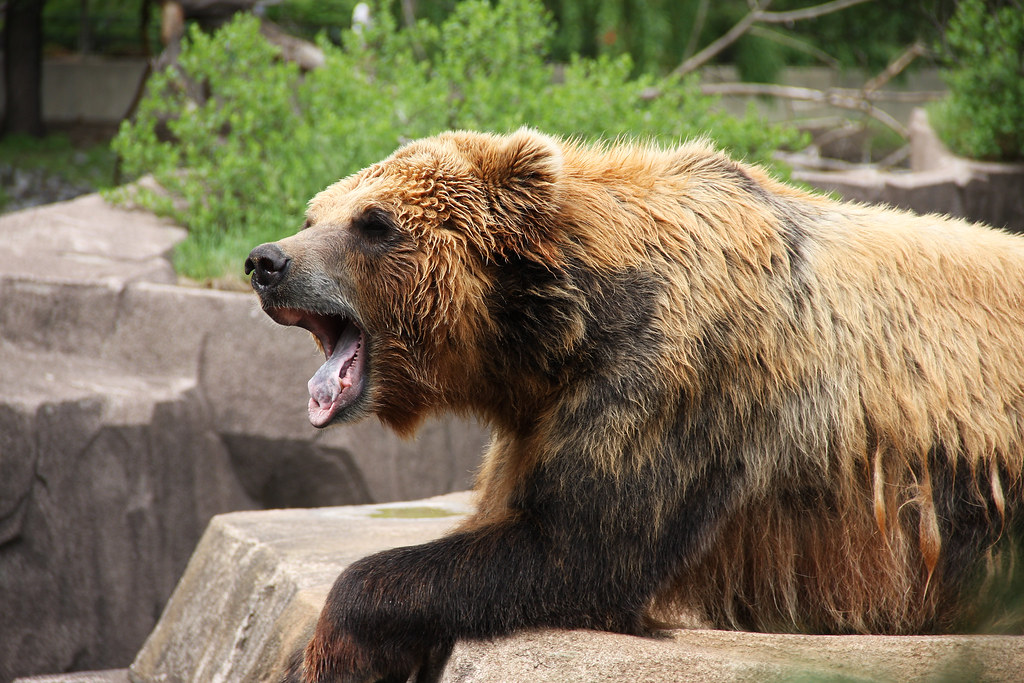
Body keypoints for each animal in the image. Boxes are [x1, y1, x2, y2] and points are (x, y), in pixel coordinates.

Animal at [245, 128, 1024, 683]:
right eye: (315, 212)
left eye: (373, 222)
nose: (267, 261)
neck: (560, 332)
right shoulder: (537, 419)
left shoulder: (673, 380)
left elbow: (581, 545)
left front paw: (340, 648)